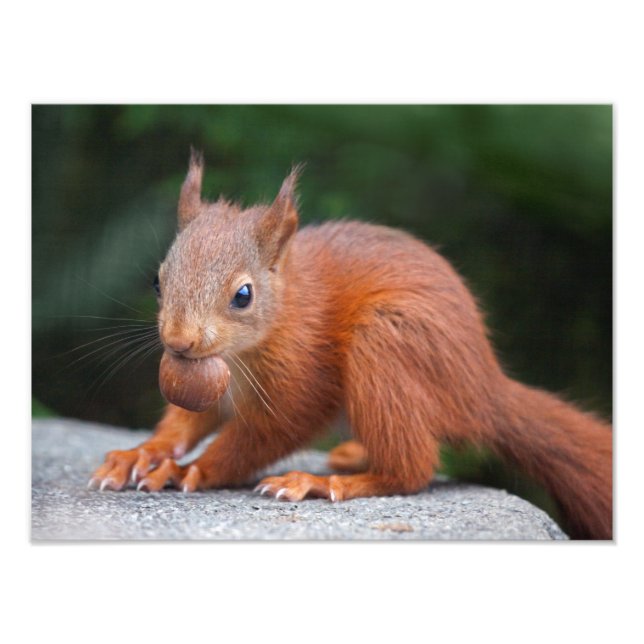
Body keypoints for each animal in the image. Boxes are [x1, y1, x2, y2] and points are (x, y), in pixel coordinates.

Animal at [89, 150, 613, 539]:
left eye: (243, 295)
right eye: (157, 282)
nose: (179, 341)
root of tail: (484, 388)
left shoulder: (302, 375)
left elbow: (265, 435)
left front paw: (189, 471)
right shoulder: (210, 386)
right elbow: (185, 423)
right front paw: (142, 453)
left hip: (386, 343)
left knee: (412, 468)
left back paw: (323, 482)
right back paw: (351, 455)